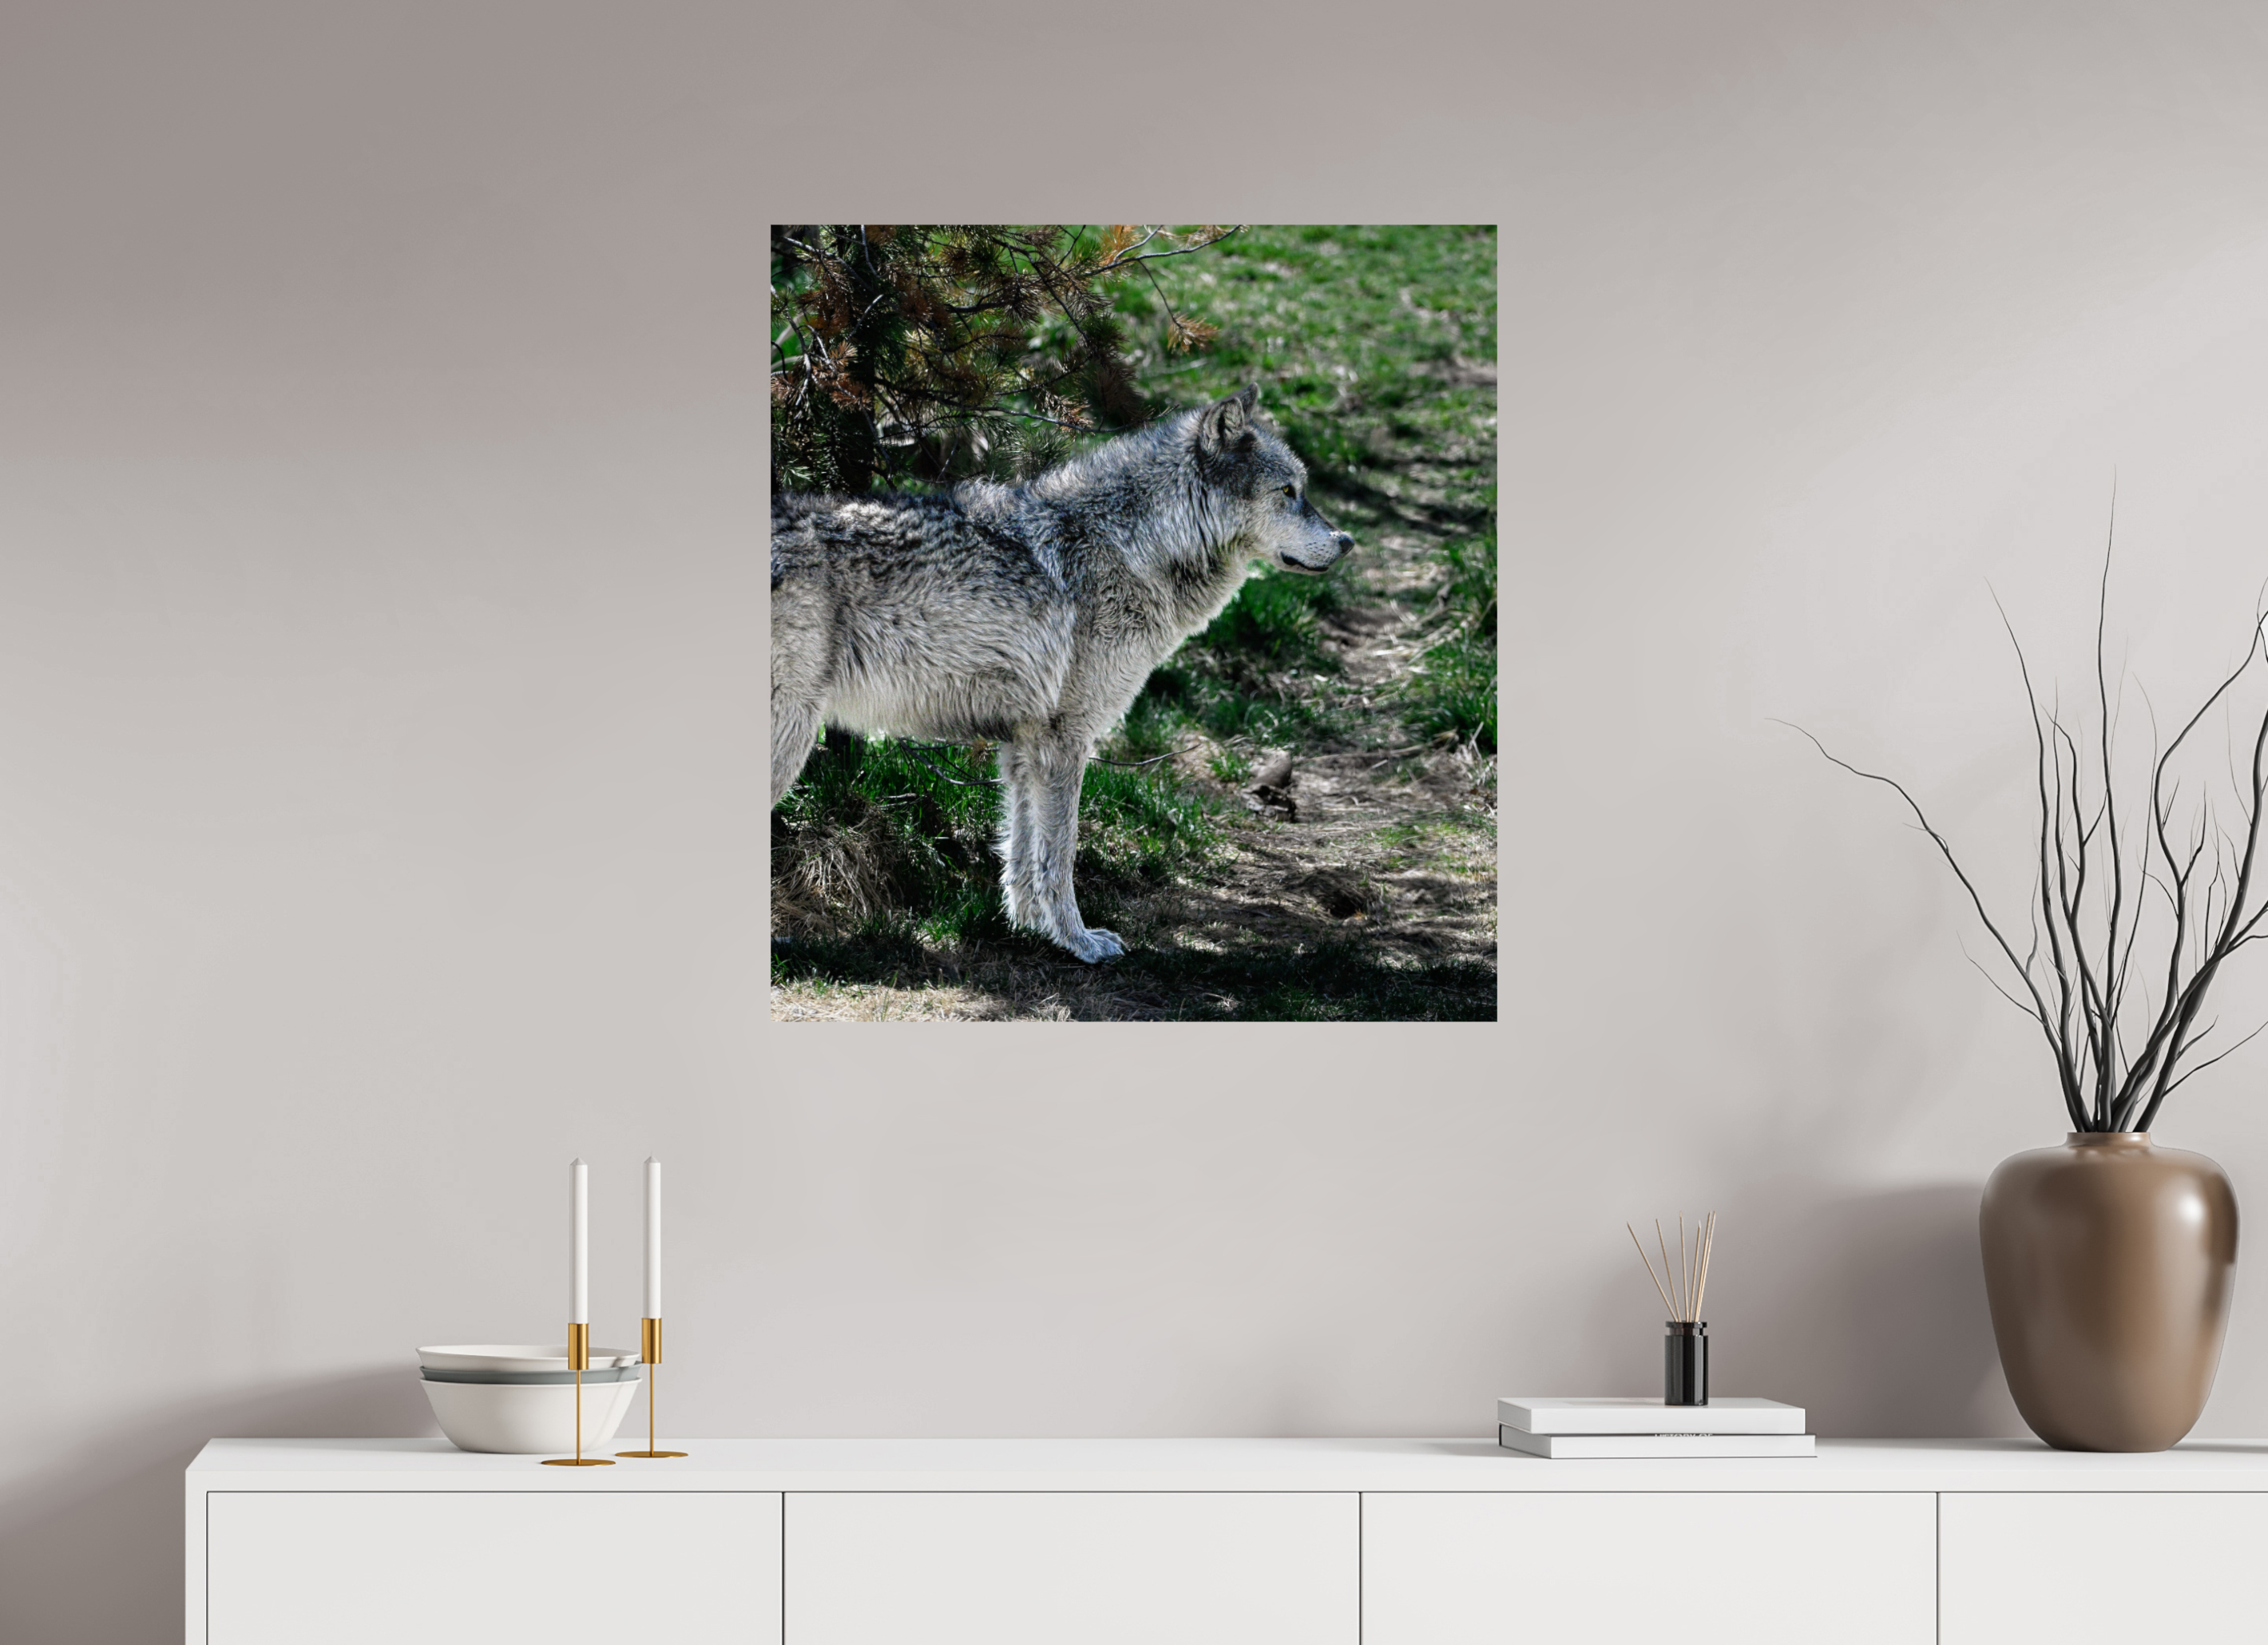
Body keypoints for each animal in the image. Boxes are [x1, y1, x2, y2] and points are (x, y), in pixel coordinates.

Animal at [771, 386, 1355, 962]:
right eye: (1288, 491)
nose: (1347, 541)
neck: (1135, 546)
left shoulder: (1025, 743)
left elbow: (1023, 852)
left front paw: (1032, 928)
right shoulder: (1066, 738)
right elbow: (1062, 853)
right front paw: (1080, 942)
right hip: (791, 738)